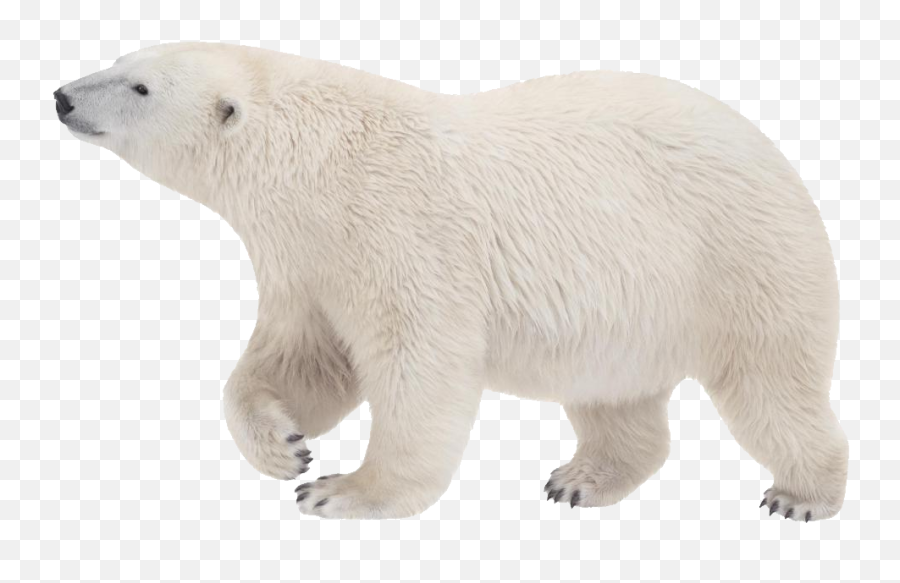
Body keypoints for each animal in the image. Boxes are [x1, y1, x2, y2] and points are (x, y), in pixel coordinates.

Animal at [55, 41, 847, 521]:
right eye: (123, 57)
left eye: (139, 86)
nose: (62, 95)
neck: (315, 161)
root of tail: (781, 159)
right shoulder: (306, 258)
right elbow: (305, 358)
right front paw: (284, 444)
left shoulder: (397, 232)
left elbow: (419, 364)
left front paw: (342, 490)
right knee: (613, 395)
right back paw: (580, 478)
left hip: (736, 257)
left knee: (771, 385)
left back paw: (802, 493)